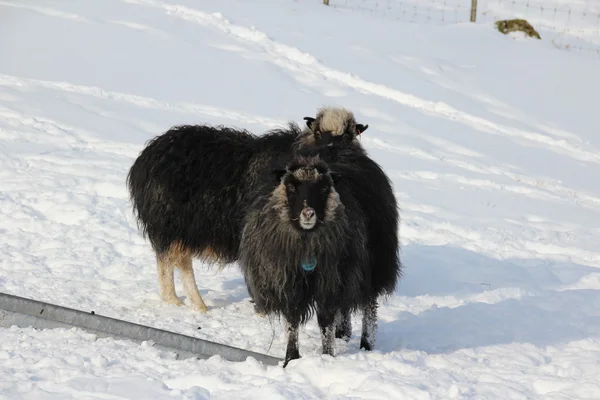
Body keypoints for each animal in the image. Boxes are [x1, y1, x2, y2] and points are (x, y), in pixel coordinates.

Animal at [238, 155, 370, 368]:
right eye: (291, 187)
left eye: (324, 188)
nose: (308, 213)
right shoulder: (288, 285)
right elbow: (292, 321)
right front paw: (290, 359)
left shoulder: (330, 284)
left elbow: (326, 321)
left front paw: (328, 357)